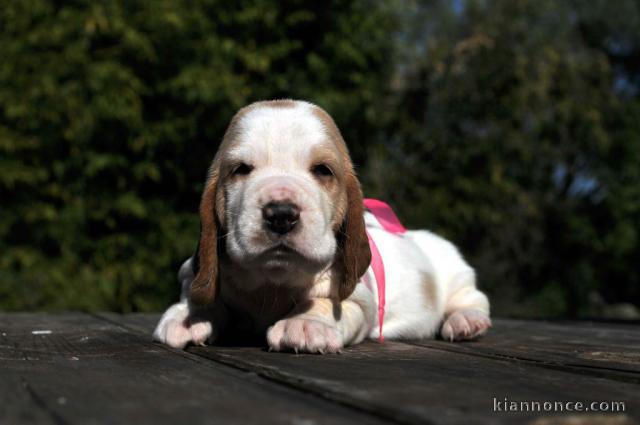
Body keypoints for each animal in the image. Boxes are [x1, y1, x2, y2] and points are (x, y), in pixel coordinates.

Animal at [154, 99, 490, 352]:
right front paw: (187, 317)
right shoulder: (193, 274)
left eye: (323, 170)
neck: (272, 279)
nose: (281, 214)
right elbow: (199, 294)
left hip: (457, 274)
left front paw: (305, 324)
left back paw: (465, 321)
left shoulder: (359, 300)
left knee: (472, 299)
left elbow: (325, 301)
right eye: (240, 169)